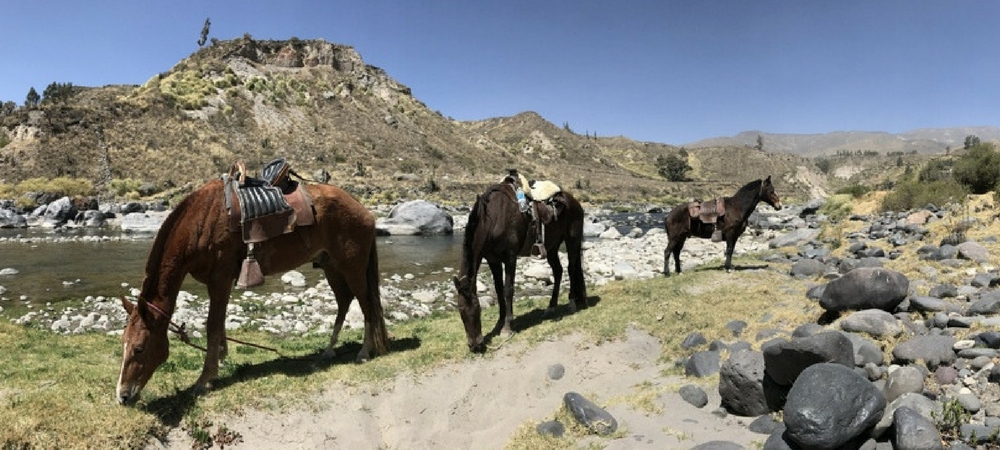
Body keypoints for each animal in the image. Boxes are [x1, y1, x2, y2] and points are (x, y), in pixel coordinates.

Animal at [116, 178, 389, 405]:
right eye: (123, 344)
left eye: (139, 348)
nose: (123, 396)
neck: (201, 221)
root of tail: (364, 211)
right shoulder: (219, 282)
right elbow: (220, 322)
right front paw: (221, 359)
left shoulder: (220, 279)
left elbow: (212, 325)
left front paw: (205, 379)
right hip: (331, 266)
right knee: (344, 301)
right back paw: (329, 351)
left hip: (352, 267)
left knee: (366, 303)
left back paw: (364, 352)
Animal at [452, 180, 587, 352]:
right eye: (460, 310)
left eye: (477, 307)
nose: (475, 345)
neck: (494, 219)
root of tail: (575, 202)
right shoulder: (493, 260)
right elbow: (498, 290)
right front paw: (499, 322)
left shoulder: (510, 257)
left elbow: (508, 290)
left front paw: (507, 327)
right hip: (552, 246)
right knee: (558, 271)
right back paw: (551, 307)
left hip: (572, 240)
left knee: (571, 268)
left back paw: (572, 303)